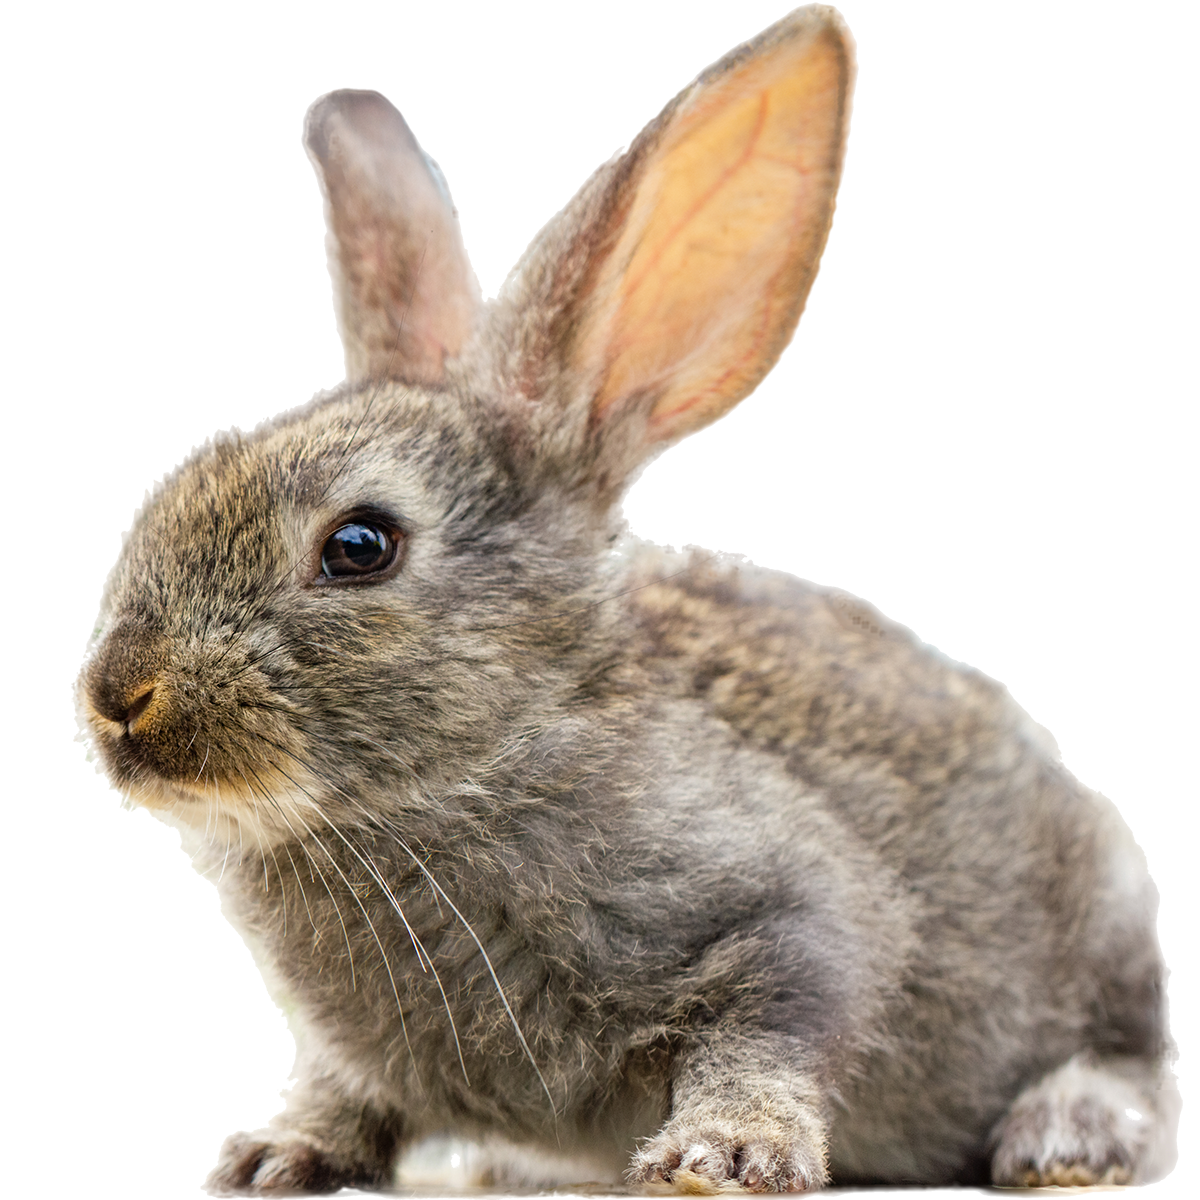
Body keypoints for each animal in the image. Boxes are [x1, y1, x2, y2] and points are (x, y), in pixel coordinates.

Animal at [80, 7, 1168, 1194]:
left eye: (359, 547)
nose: (116, 694)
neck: (479, 769)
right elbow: (346, 1089)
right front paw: (275, 1154)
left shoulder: (795, 912)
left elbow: (774, 1021)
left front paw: (722, 1154)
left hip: (1099, 931)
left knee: (1130, 1050)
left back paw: (1066, 1132)